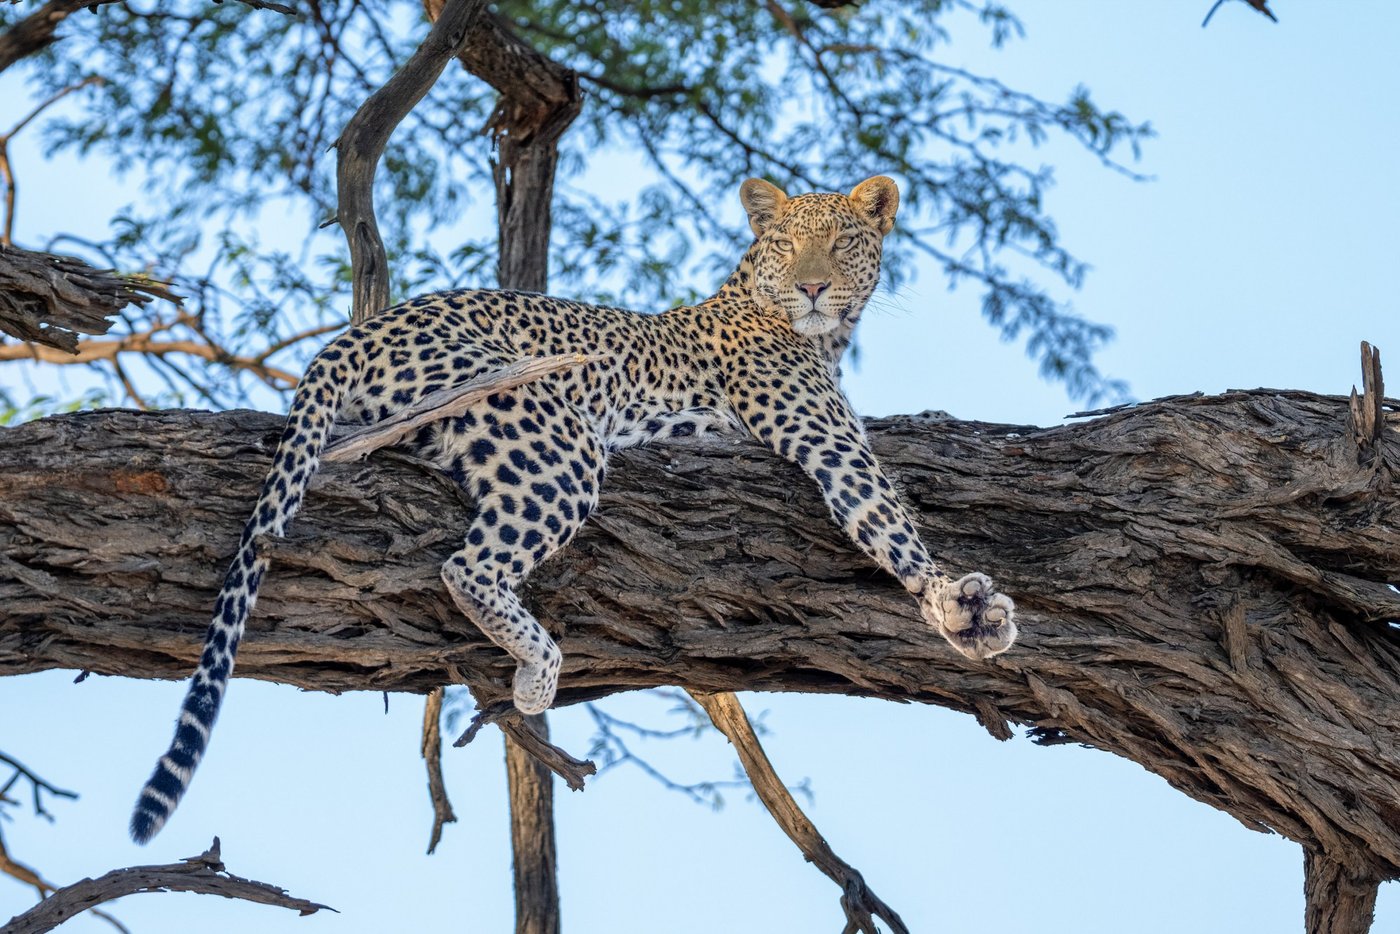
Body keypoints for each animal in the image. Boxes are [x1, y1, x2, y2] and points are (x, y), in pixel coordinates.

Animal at [130, 175, 1017, 843]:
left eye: (842, 240)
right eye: (786, 244)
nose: (812, 285)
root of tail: (348, 337)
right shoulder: (823, 436)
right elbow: (882, 514)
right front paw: (956, 605)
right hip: (552, 435)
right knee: (467, 566)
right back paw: (537, 673)